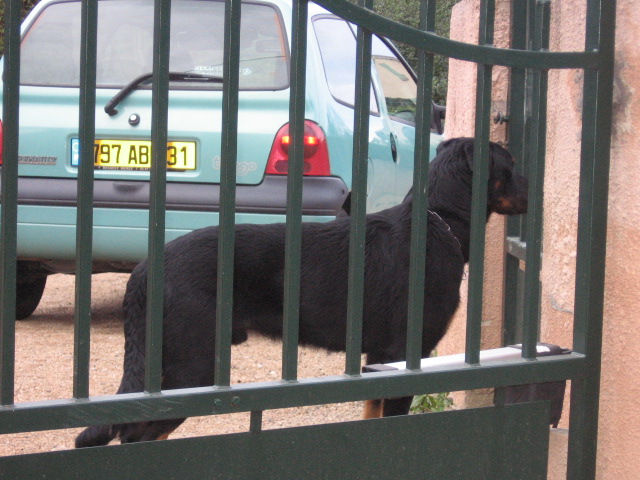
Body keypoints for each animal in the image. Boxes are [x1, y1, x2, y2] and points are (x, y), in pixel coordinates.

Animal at [75, 135, 528, 446]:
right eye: (511, 164)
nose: (533, 193)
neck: (438, 221)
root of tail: (144, 269)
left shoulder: (377, 361)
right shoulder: (402, 356)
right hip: (190, 368)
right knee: (138, 435)